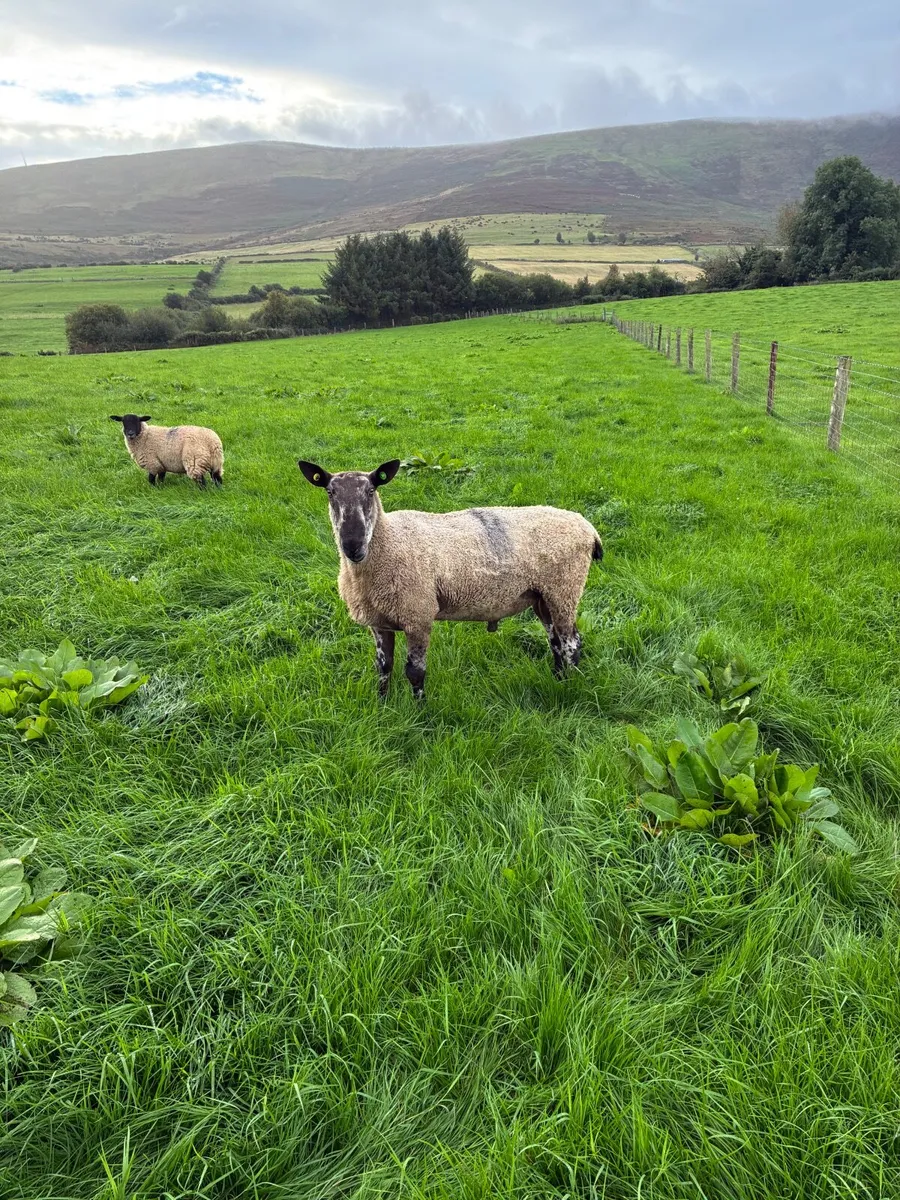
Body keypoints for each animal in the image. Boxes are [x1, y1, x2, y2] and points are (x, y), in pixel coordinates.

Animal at [297, 458, 603, 699]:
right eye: (329, 492)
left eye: (371, 490)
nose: (352, 544)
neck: (389, 540)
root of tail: (588, 527)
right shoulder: (379, 621)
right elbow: (383, 668)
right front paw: (382, 706)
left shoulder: (418, 614)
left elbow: (415, 672)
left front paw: (419, 715)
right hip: (542, 596)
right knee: (555, 641)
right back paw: (558, 679)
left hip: (565, 587)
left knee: (571, 643)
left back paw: (571, 687)